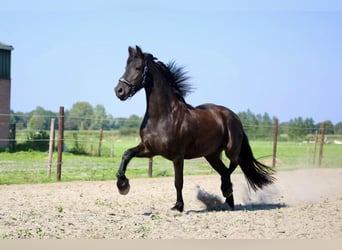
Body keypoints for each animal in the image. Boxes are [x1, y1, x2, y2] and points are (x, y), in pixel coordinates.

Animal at [114, 45, 276, 211]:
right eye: (126, 67)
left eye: (138, 68)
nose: (119, 91)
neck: (163, 117)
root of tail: (233, 116)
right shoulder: (149, 149)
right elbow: (127, 154)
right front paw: (123, 185)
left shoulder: (177, 156)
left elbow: (178, 182)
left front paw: (178, 206)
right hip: (211, 155)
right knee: (225, 170)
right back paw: (228, 202)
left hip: (230, 149)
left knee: (234, 164)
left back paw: (226, 190)